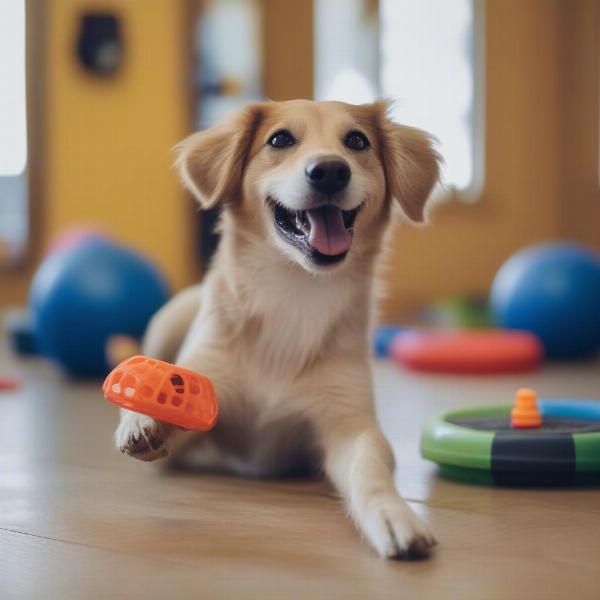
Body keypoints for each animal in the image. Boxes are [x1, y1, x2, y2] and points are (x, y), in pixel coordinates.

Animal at [113, 98, 440, 556]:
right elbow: (173, 406)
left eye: (357, 141)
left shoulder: (348, 423)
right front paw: (143, 419)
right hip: (171, 315)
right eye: (280, 139)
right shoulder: (206, 410)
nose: (330, 170)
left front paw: (394, 514)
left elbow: (370, 469)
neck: (294, 292)